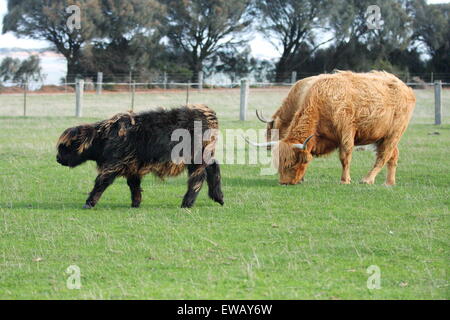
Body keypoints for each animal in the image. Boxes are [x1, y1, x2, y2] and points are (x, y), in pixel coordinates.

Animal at [56, 105, 225, 209]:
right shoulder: (132, 166)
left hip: (196, 158)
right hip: (204, 156)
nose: (58, 158)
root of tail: (208, 114)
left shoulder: (114, 164)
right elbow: (134, 185)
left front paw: (89, 203)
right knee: (213, 168)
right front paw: (136, 203)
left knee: (198, 178)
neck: (104, 136)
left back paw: (187, 203)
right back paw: (218, 197)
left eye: (66, 146)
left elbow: (101, 182)